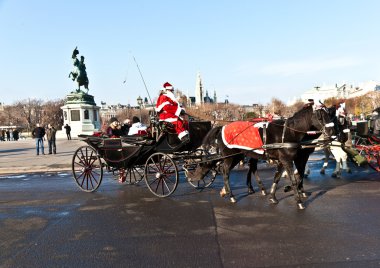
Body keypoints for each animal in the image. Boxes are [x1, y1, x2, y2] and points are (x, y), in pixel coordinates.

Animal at [190, 102, 332, 209]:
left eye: (329, 113)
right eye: (320, 116)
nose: (331, 130)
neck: (288, 132)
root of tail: (221, 127)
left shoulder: (283, 160)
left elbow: (277, 177)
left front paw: (273, 196)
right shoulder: (287, 160)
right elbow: (293, 178)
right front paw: (298, 200)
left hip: (238, 155)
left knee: (237, 169)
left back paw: (228, 190)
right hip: (230, 157)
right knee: (225, 172)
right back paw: (231, 195)